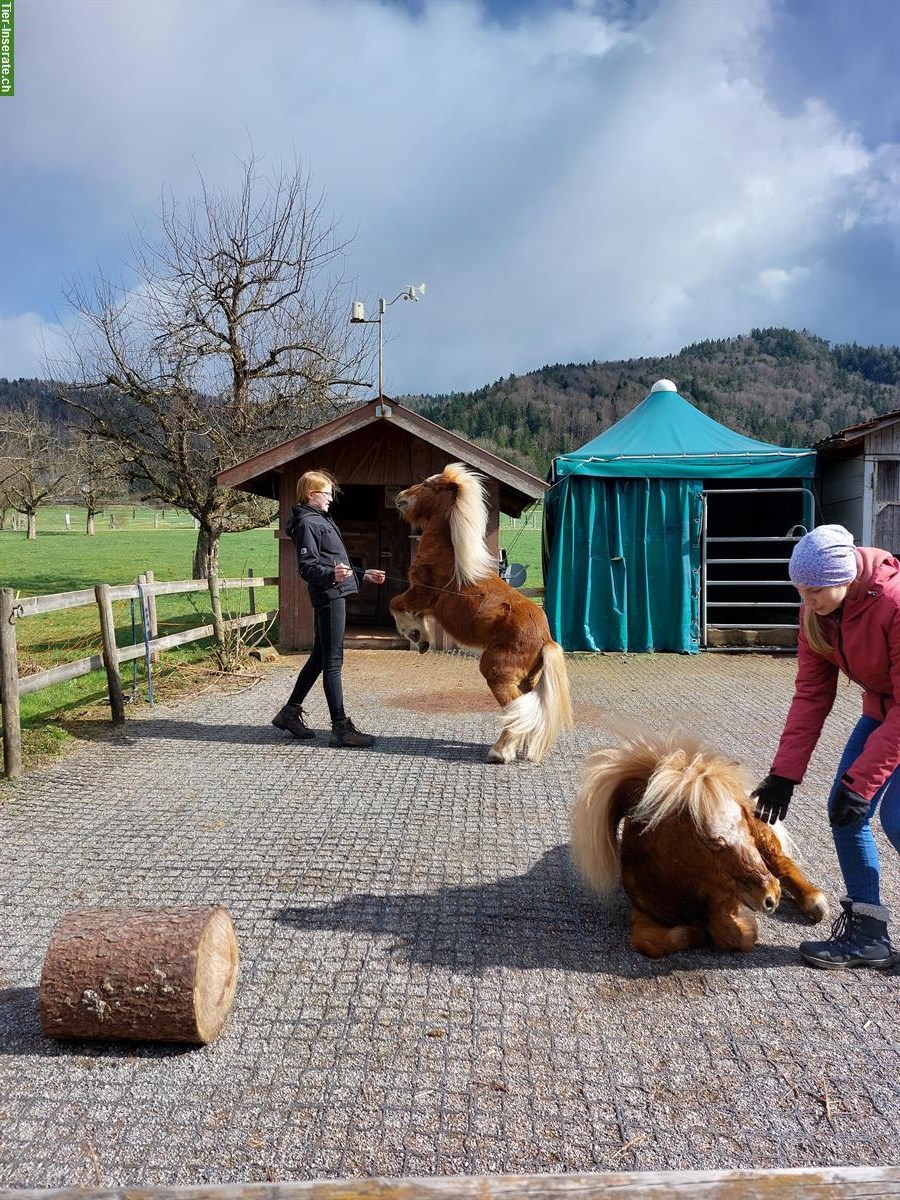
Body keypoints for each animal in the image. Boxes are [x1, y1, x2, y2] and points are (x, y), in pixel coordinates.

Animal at [391, 458, 573, 758]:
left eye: (427, 484)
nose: (401, 497)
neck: (448, 554)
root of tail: (546, 639)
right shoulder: (426, 604)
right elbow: (413, 614)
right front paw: (422, 638)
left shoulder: (420, 593)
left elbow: (395, 604)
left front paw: (414, 635)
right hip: (527, 680)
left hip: (496, 672)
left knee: (516, 709)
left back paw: (501, 752)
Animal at [573, 724, 830, 960]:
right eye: (712, 841)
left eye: (744, 825)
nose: (770, 896)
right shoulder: (645, 911)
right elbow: (651, 942)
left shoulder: (725, 899)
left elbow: (730, 933)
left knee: (781, 862)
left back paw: (812, 900)